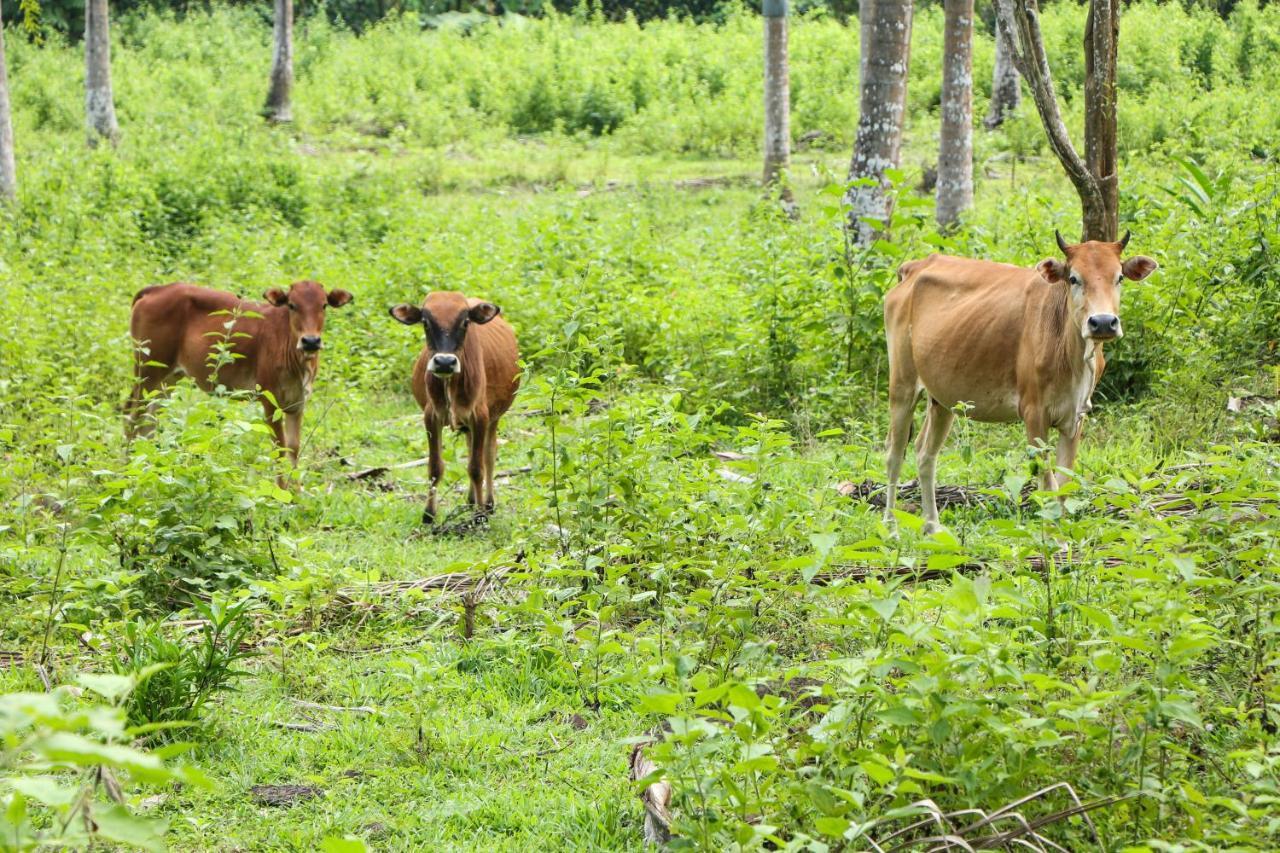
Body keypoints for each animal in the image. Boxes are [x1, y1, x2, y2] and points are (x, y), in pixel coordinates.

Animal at [386, 289, 517, 522]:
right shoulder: (431, 416)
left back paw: (487, 503)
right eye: (425, 322)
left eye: (465, 322)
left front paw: (480, 516)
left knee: (488, 456)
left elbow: (477, 468)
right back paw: (472, 500)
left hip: (494, 418)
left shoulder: (480, 416)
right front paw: (429, 515)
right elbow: (435, 467)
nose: (445, 362)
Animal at [885, 230, 1157, 532]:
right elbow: (1048, 485)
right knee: (894, 453)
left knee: (925, 454)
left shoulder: (1076, 417)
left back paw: (932, 527)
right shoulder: (1033, 413)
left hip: (943, 399)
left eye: (1119, 277)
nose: (1103, 322)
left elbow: (1064, 484)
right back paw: (891, 527)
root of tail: (912, 267)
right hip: (902, 385)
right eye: (1074, 278)